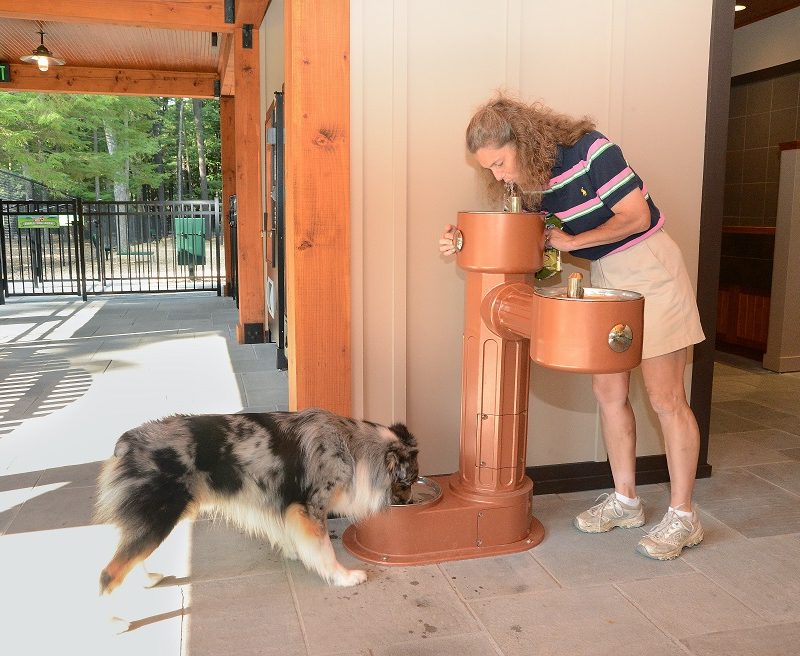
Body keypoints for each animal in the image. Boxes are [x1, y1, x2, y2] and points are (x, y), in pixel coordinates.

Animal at [94, 408, 418, 592]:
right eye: (408, 481)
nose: (410, 504)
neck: (353, 449)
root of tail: (126, 444)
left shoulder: (287, 507)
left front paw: (295, 551)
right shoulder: (310, 507)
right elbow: (324, 550)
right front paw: (344, 577)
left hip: (151, 520)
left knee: (128, 555)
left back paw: (148, 579)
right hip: (160, 516)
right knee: (108, 573)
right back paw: (116, 624)